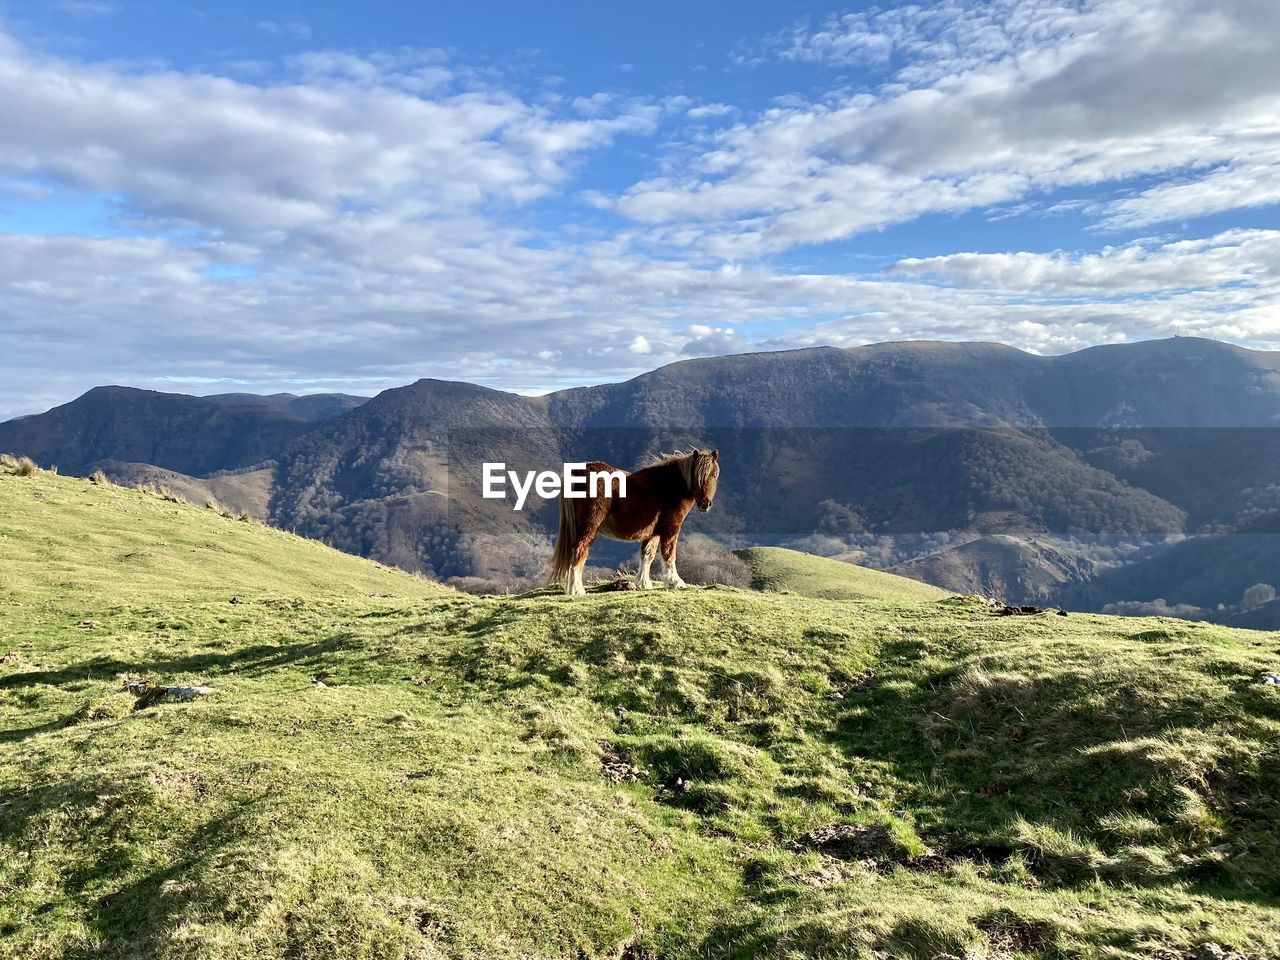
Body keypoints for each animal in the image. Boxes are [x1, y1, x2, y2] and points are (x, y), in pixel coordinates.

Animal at [550, 450, 721, 593]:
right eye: (699, 476)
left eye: (714, 475)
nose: (705, 504)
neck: (667, 487)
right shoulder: (671, 530)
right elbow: (669, 555)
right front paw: (675, 582)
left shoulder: (653, 533)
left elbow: (647, 555)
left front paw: (644, 583)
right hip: (588, 528)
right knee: (579, 552)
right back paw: (577, 590)